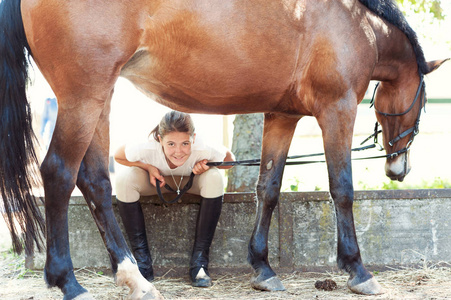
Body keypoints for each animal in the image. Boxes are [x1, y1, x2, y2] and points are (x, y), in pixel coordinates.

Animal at [0, 0, 446, 298]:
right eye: (423, 103)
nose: (398, 169)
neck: (355, 23)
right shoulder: (337, 110)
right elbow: (342, 190)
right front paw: (357, 269)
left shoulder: (282, 115)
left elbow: (268, 188)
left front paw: (263, 268)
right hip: (83, 96)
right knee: (59, 172)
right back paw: (68, 281)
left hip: (99, 98)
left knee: (94, 181)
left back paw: (133, 277)